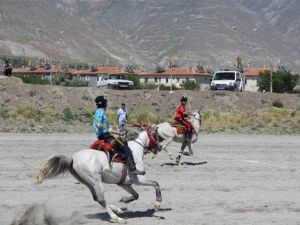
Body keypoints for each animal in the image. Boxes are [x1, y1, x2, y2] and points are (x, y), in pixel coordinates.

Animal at [33, 129, 162, 224]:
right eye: (155, 136)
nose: (159, 147)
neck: (135, 152)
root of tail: (73, 158)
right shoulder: (138, 179)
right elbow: (156, 183)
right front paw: (157, 204)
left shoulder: (123, 183)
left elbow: (136, 195)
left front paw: (125, 199)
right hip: (96, 182)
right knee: (101, 199)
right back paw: (117, 218)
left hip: (88, 182)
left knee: (97, 198)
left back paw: (118, 210)